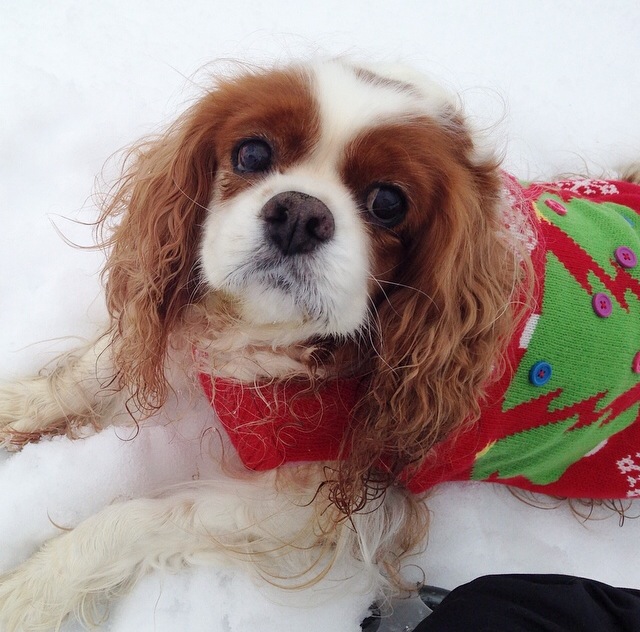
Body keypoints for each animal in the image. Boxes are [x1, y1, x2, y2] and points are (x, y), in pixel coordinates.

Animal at [1, 58, 640, 628]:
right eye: (252, 153)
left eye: (388, 202)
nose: (299, 214)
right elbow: (87, 372)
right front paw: (19, 408)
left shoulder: (319, 501)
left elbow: (142, 517)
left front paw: (31, 592)